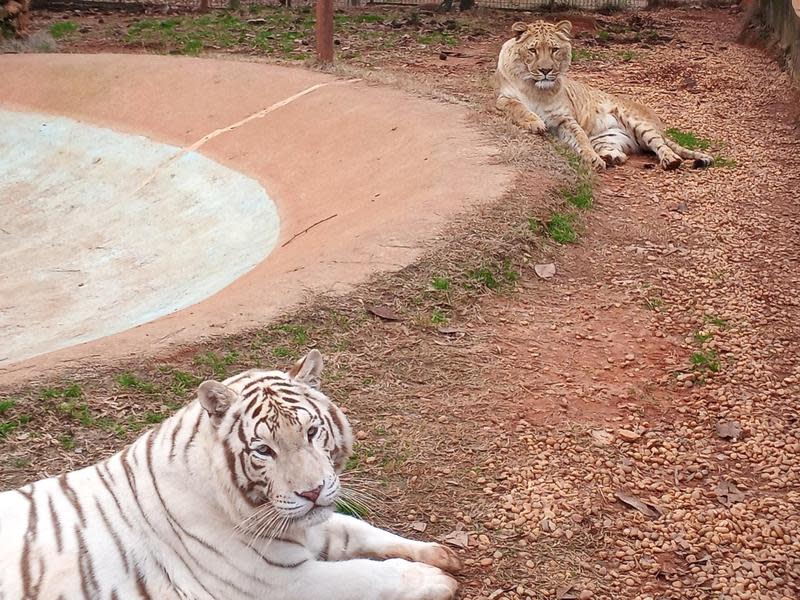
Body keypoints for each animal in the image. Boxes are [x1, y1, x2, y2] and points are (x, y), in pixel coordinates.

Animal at [0, 352, 460, 600]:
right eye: (263, 450)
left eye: (312, 432)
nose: (312, 492)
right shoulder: (281, 581)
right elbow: (369, 574)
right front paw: (436, 580)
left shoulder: (309, 528)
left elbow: (362, 531)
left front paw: (438, 553)